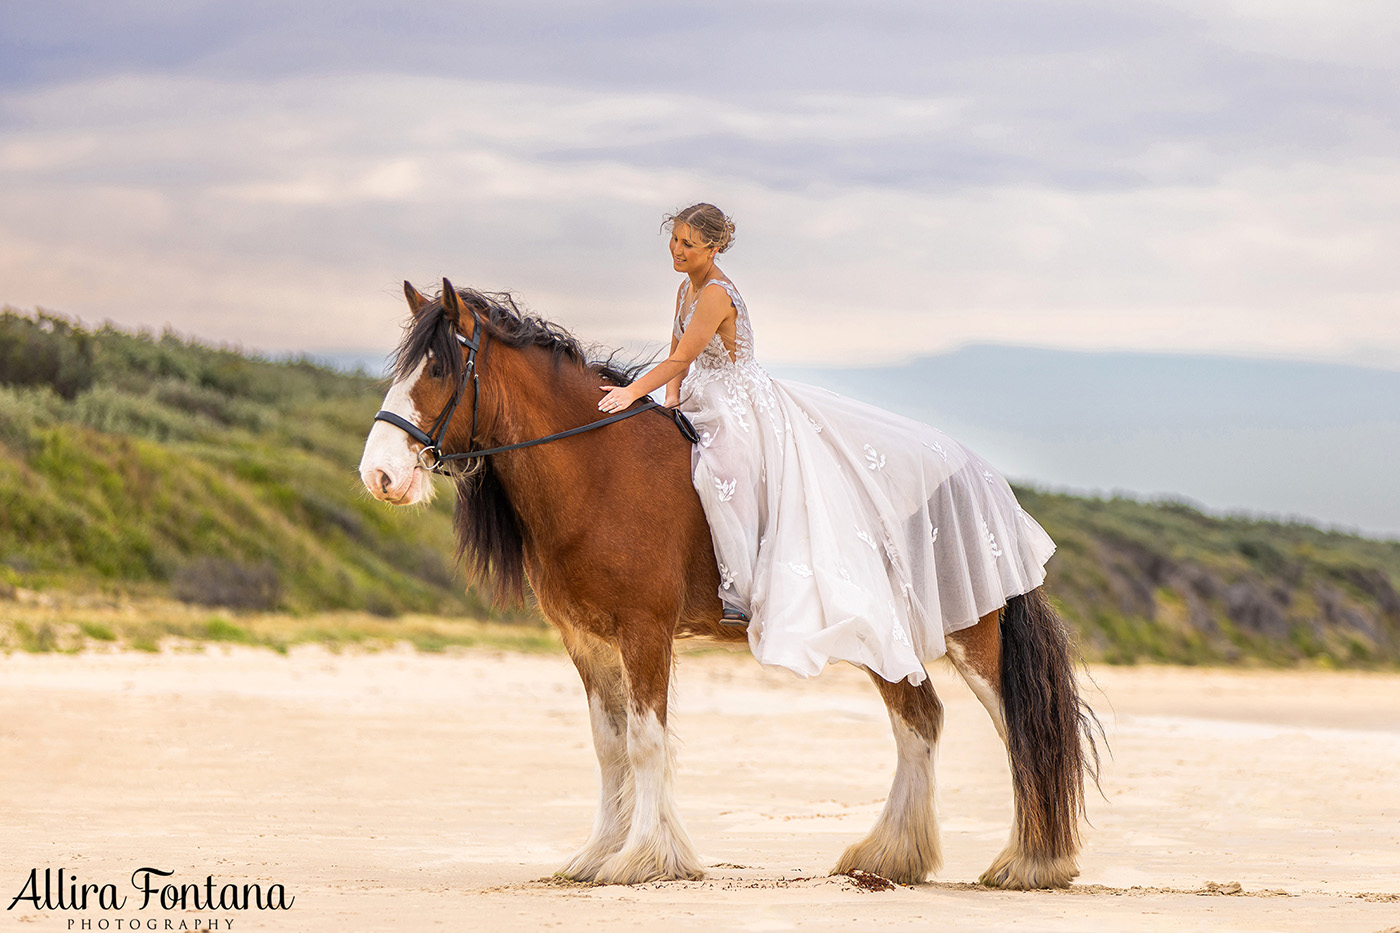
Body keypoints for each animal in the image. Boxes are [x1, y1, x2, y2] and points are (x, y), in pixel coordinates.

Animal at [355, 277, 1097, 885]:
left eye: (439, 367)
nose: (379, 475)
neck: (598, 468)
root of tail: (983, 476)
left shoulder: (645, 632)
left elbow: (646, 743)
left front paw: (643, 858)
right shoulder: (586, 640)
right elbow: (609, 747)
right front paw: (597, 855)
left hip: (971, 637)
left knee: (1016, 730)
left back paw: (1031, 863)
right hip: (887, 639)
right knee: (920, 723)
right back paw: (890, 857)